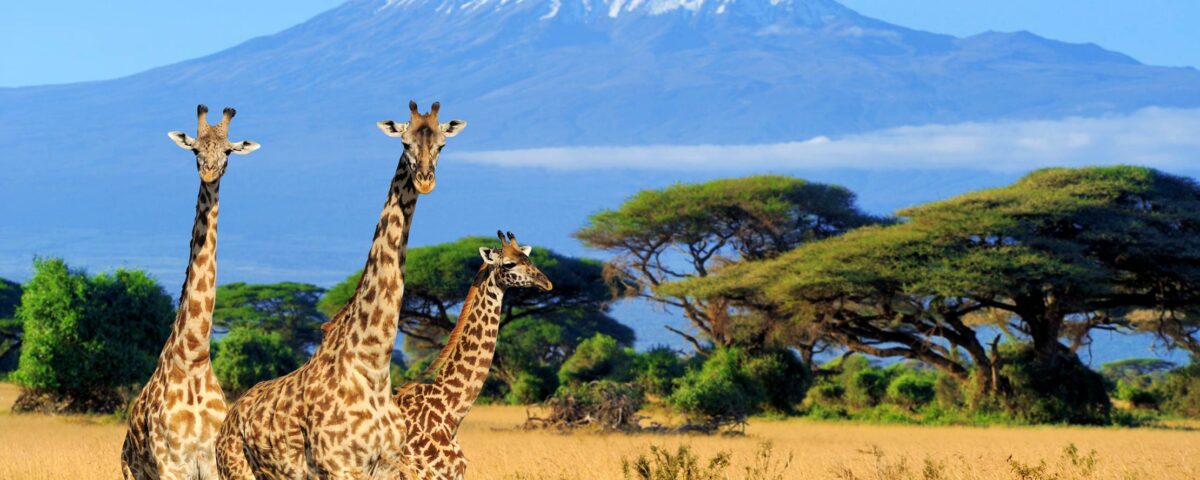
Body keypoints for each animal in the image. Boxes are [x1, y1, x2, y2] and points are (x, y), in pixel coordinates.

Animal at [122, 104, 260, 480]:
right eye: (196, 150)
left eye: (228, 151)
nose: (210, 172)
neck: (194, 359)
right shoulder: (172, 464)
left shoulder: (211, 463)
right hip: (133, 472)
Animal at [215, 101, 466, 479]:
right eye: (404, 143)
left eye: (442, 144)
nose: (425, 180)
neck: (373, 366)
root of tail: (228, 421)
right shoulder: (339, 466)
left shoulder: (387, 467)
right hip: (235, 471)